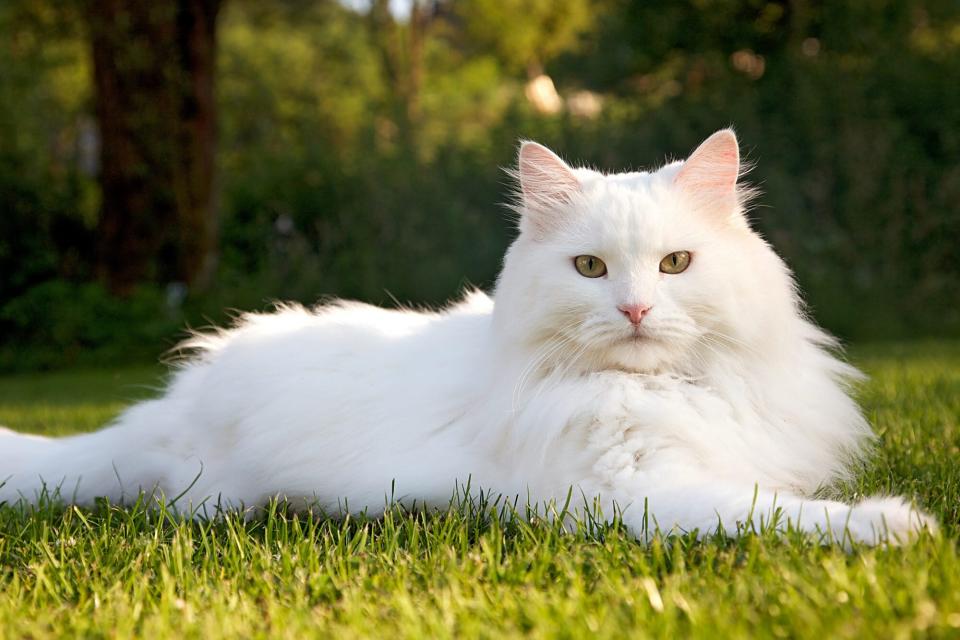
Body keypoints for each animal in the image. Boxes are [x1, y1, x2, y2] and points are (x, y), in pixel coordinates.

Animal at [0, 129, 928, 544]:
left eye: (674, 264)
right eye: (590, 268)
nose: (633, 311)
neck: (662, 389)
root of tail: (168, 404)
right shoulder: (633, 492)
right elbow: (779, 515)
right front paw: (895, 525)